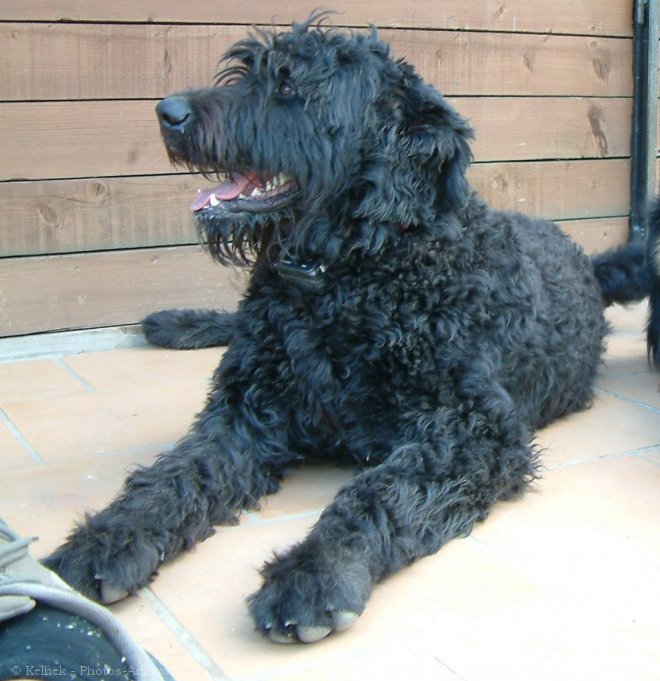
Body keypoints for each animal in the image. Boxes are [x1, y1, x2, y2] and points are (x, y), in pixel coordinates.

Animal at [49, 17, 648, 644]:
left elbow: (375, 492)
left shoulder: (474, 432)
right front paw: (108, 538)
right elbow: (174, 473)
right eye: (245, 74)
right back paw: (176, 322)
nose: (168, 112)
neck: (348, 275)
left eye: (290, 87)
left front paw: (316, 571)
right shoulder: (242, 414)